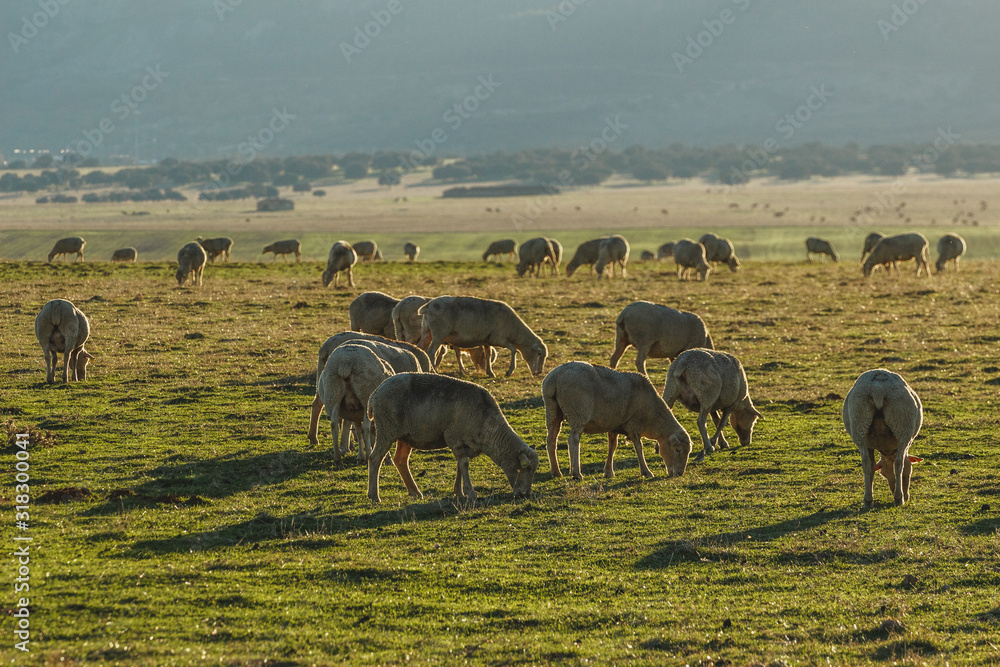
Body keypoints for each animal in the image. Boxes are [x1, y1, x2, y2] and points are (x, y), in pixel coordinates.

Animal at [366, 373, 539, 503]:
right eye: (527, 468)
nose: (525, 494)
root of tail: (374, 393)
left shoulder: (464, 444)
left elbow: (460, 466)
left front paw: (459, 492)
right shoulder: (453, 437)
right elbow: (464, 464)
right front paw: (470, 492)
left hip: (405, 436)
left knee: (400, 460)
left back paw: (415, 492)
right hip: (386, 429)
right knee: (375, 458)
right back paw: (374, 496)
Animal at [419, 295, 547, 377]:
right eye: (539, 354)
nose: (539, 373)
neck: (515, 329)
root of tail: (428, 305)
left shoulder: (487, 341)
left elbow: (488, 355)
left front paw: (490, 372)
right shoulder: (500, 339)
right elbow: (514, 350)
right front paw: (509, 371)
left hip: (426, 332)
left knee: (420, 348)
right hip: (439, 333)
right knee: (431, 352)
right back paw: (433, 371)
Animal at [542, 361, 692, 480]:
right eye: (678, 450)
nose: (679, 474)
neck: (653, 415)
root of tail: (555, 378)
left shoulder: (614, 425)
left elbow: (612, 447)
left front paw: (608, 472)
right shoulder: (633, 424)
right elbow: (639, 447)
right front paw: (646, 472)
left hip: (552, 411)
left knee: (551, 440)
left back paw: (556, 472)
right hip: (577, 413)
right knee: (573, 440)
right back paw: (576, 473)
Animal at [843, 369, 922, 507]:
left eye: (883, 474)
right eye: (910, 470)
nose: (907, 497)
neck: (888, 452)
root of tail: (878, 389)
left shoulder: (869, 445)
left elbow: (872, 467)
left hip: (860, 422)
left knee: (866, 463)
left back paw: (868, 500)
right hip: (902, 424)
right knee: (898, 463)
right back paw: (899, 498)